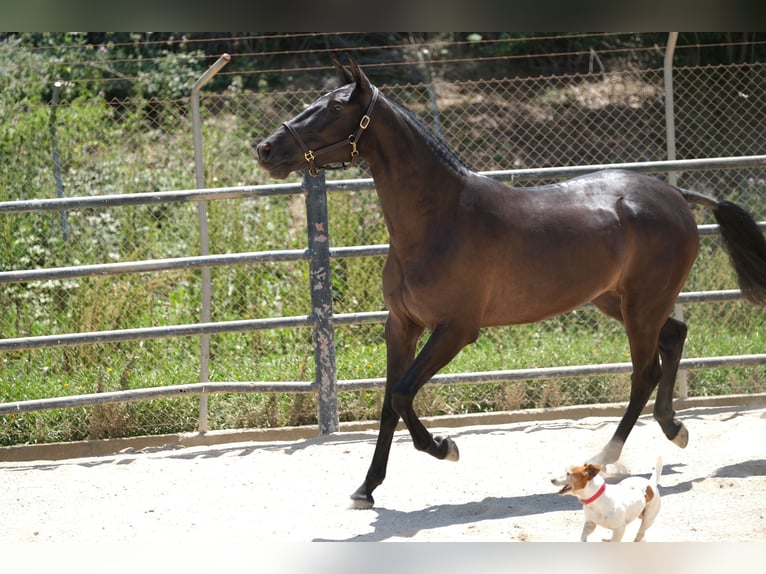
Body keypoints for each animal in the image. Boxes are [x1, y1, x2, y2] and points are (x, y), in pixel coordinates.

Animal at [256, 57, 766, 508]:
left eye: (334, 107)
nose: (265, 149)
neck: (438, 219)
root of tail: (676, 194)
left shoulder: (456, 330)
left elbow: (402, 393)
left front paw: (445, 447)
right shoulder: (400, 325)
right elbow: (389, 400)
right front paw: (366, 489)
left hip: (641, 306)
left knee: (646, 372)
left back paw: (605, 455)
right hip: (619, 302)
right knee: (674, 338)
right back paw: (674, 428)